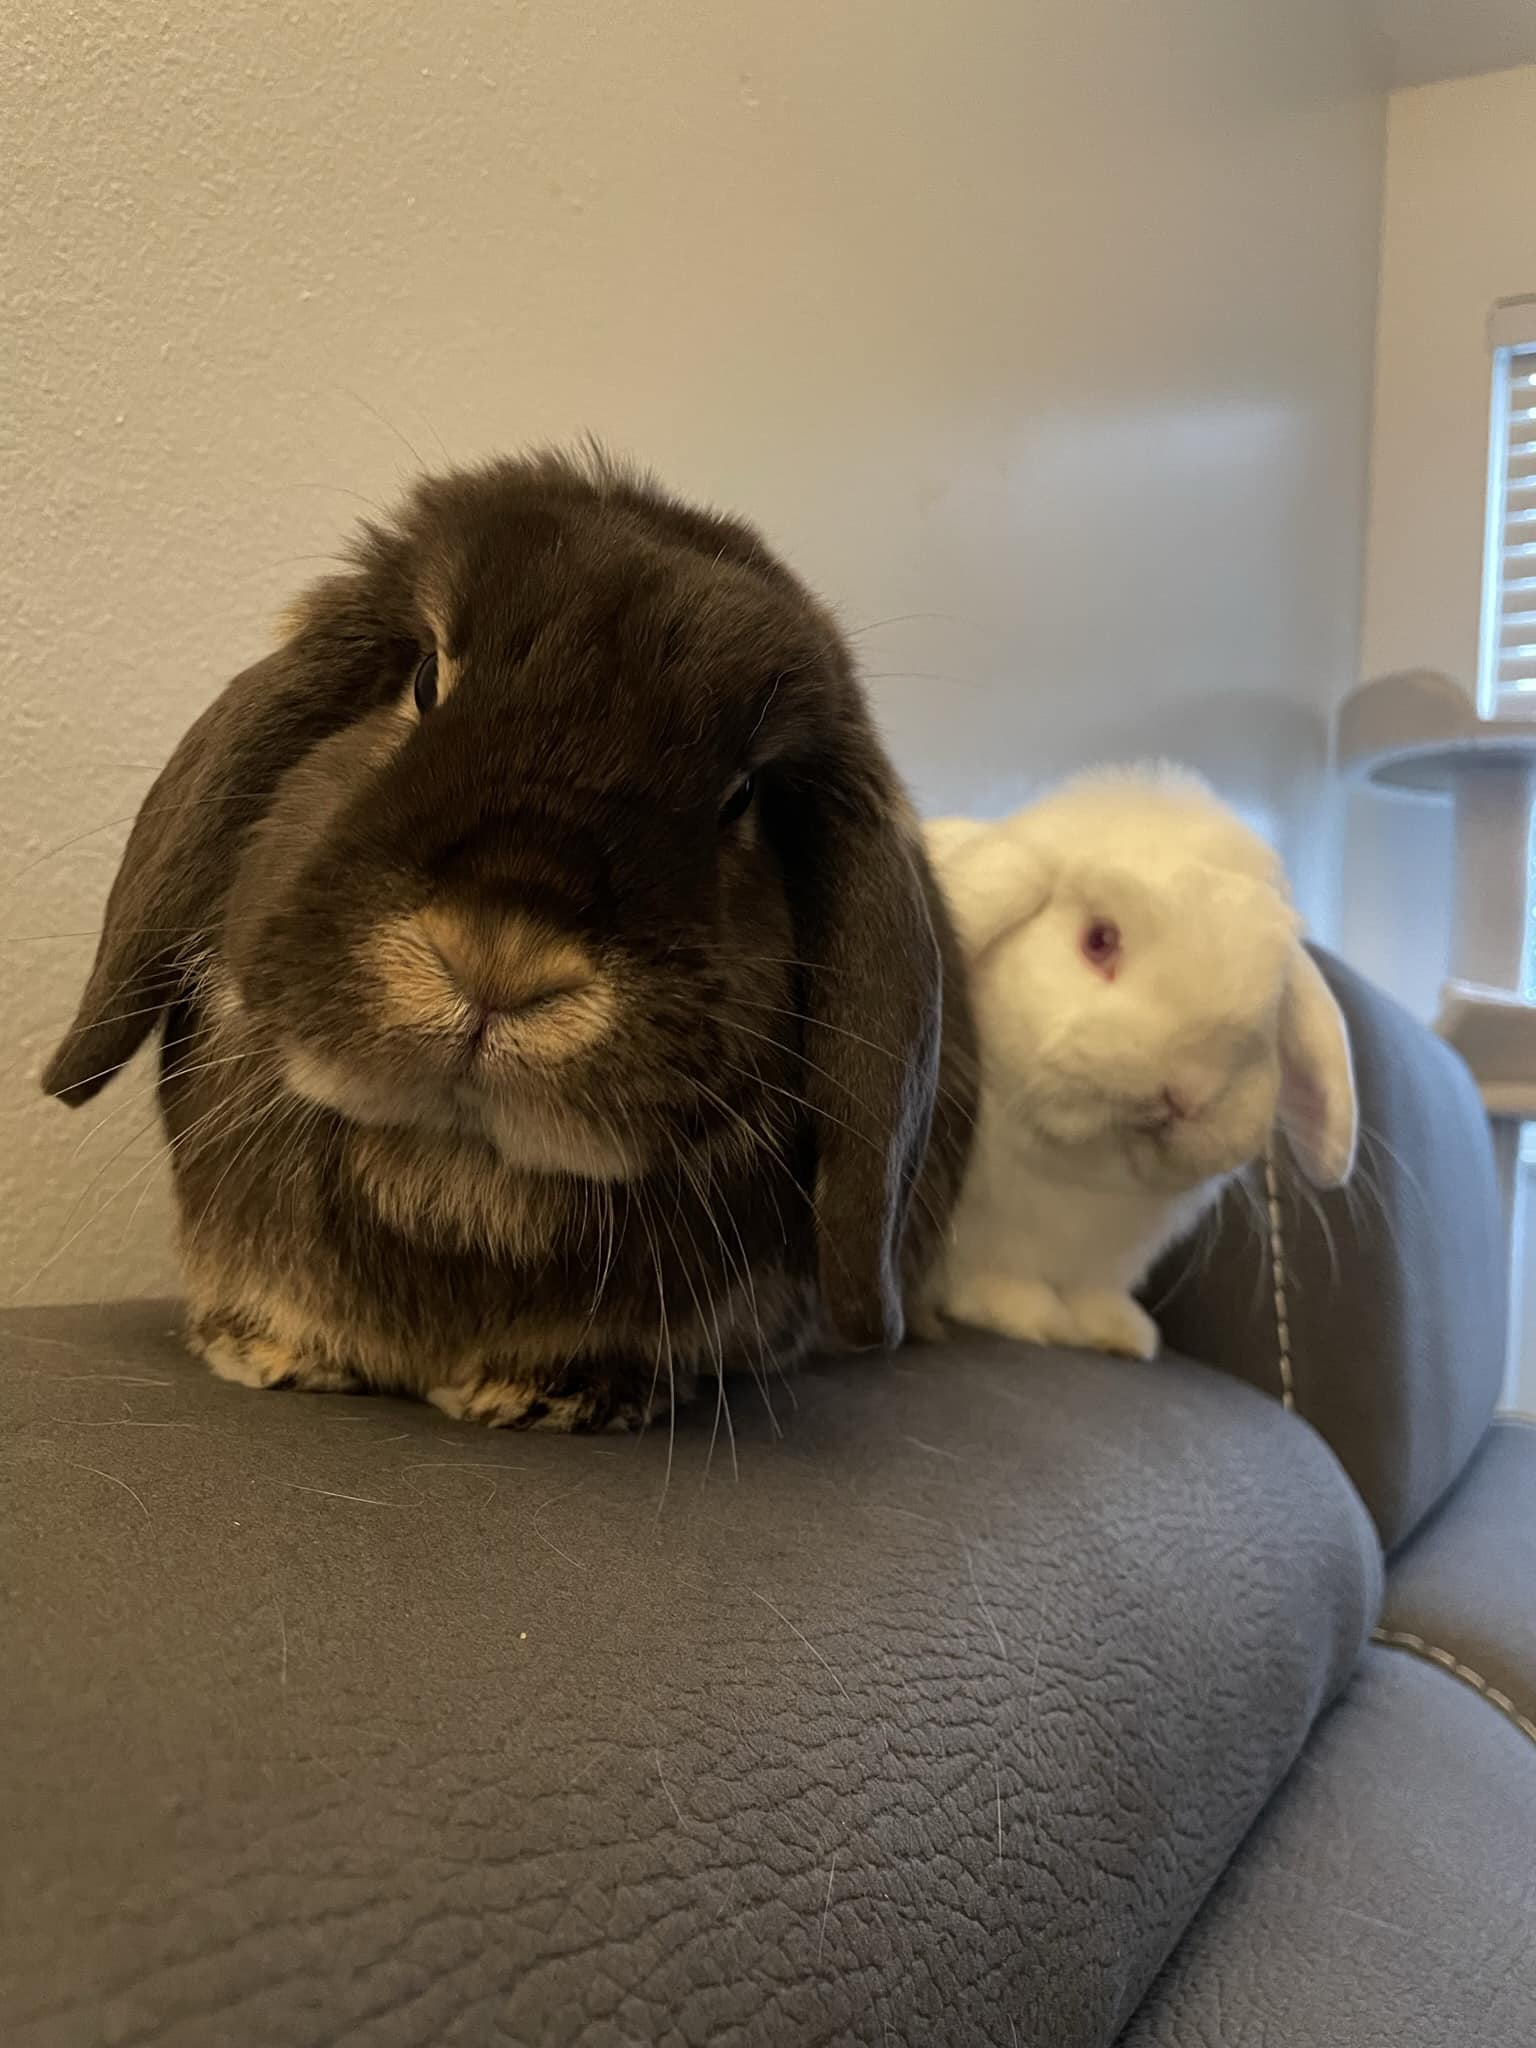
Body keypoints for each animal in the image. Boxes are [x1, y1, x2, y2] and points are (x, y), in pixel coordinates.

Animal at [42, 450, 977, 1430]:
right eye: (424, 680)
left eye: (741, 798)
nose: (502, 958)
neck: (452, 1181)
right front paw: (274, 1351)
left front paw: (563, 1394)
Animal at [922, 766, 1356, 1361]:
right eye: (1099, 940)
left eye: (1270, 1012)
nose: (1185, 1092)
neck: (1075, 1176)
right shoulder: (980, 1239)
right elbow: (989, 1279)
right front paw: (1031, 1318)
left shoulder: (1102, 1262)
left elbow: (1095, 1294)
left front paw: (1121, 1333)